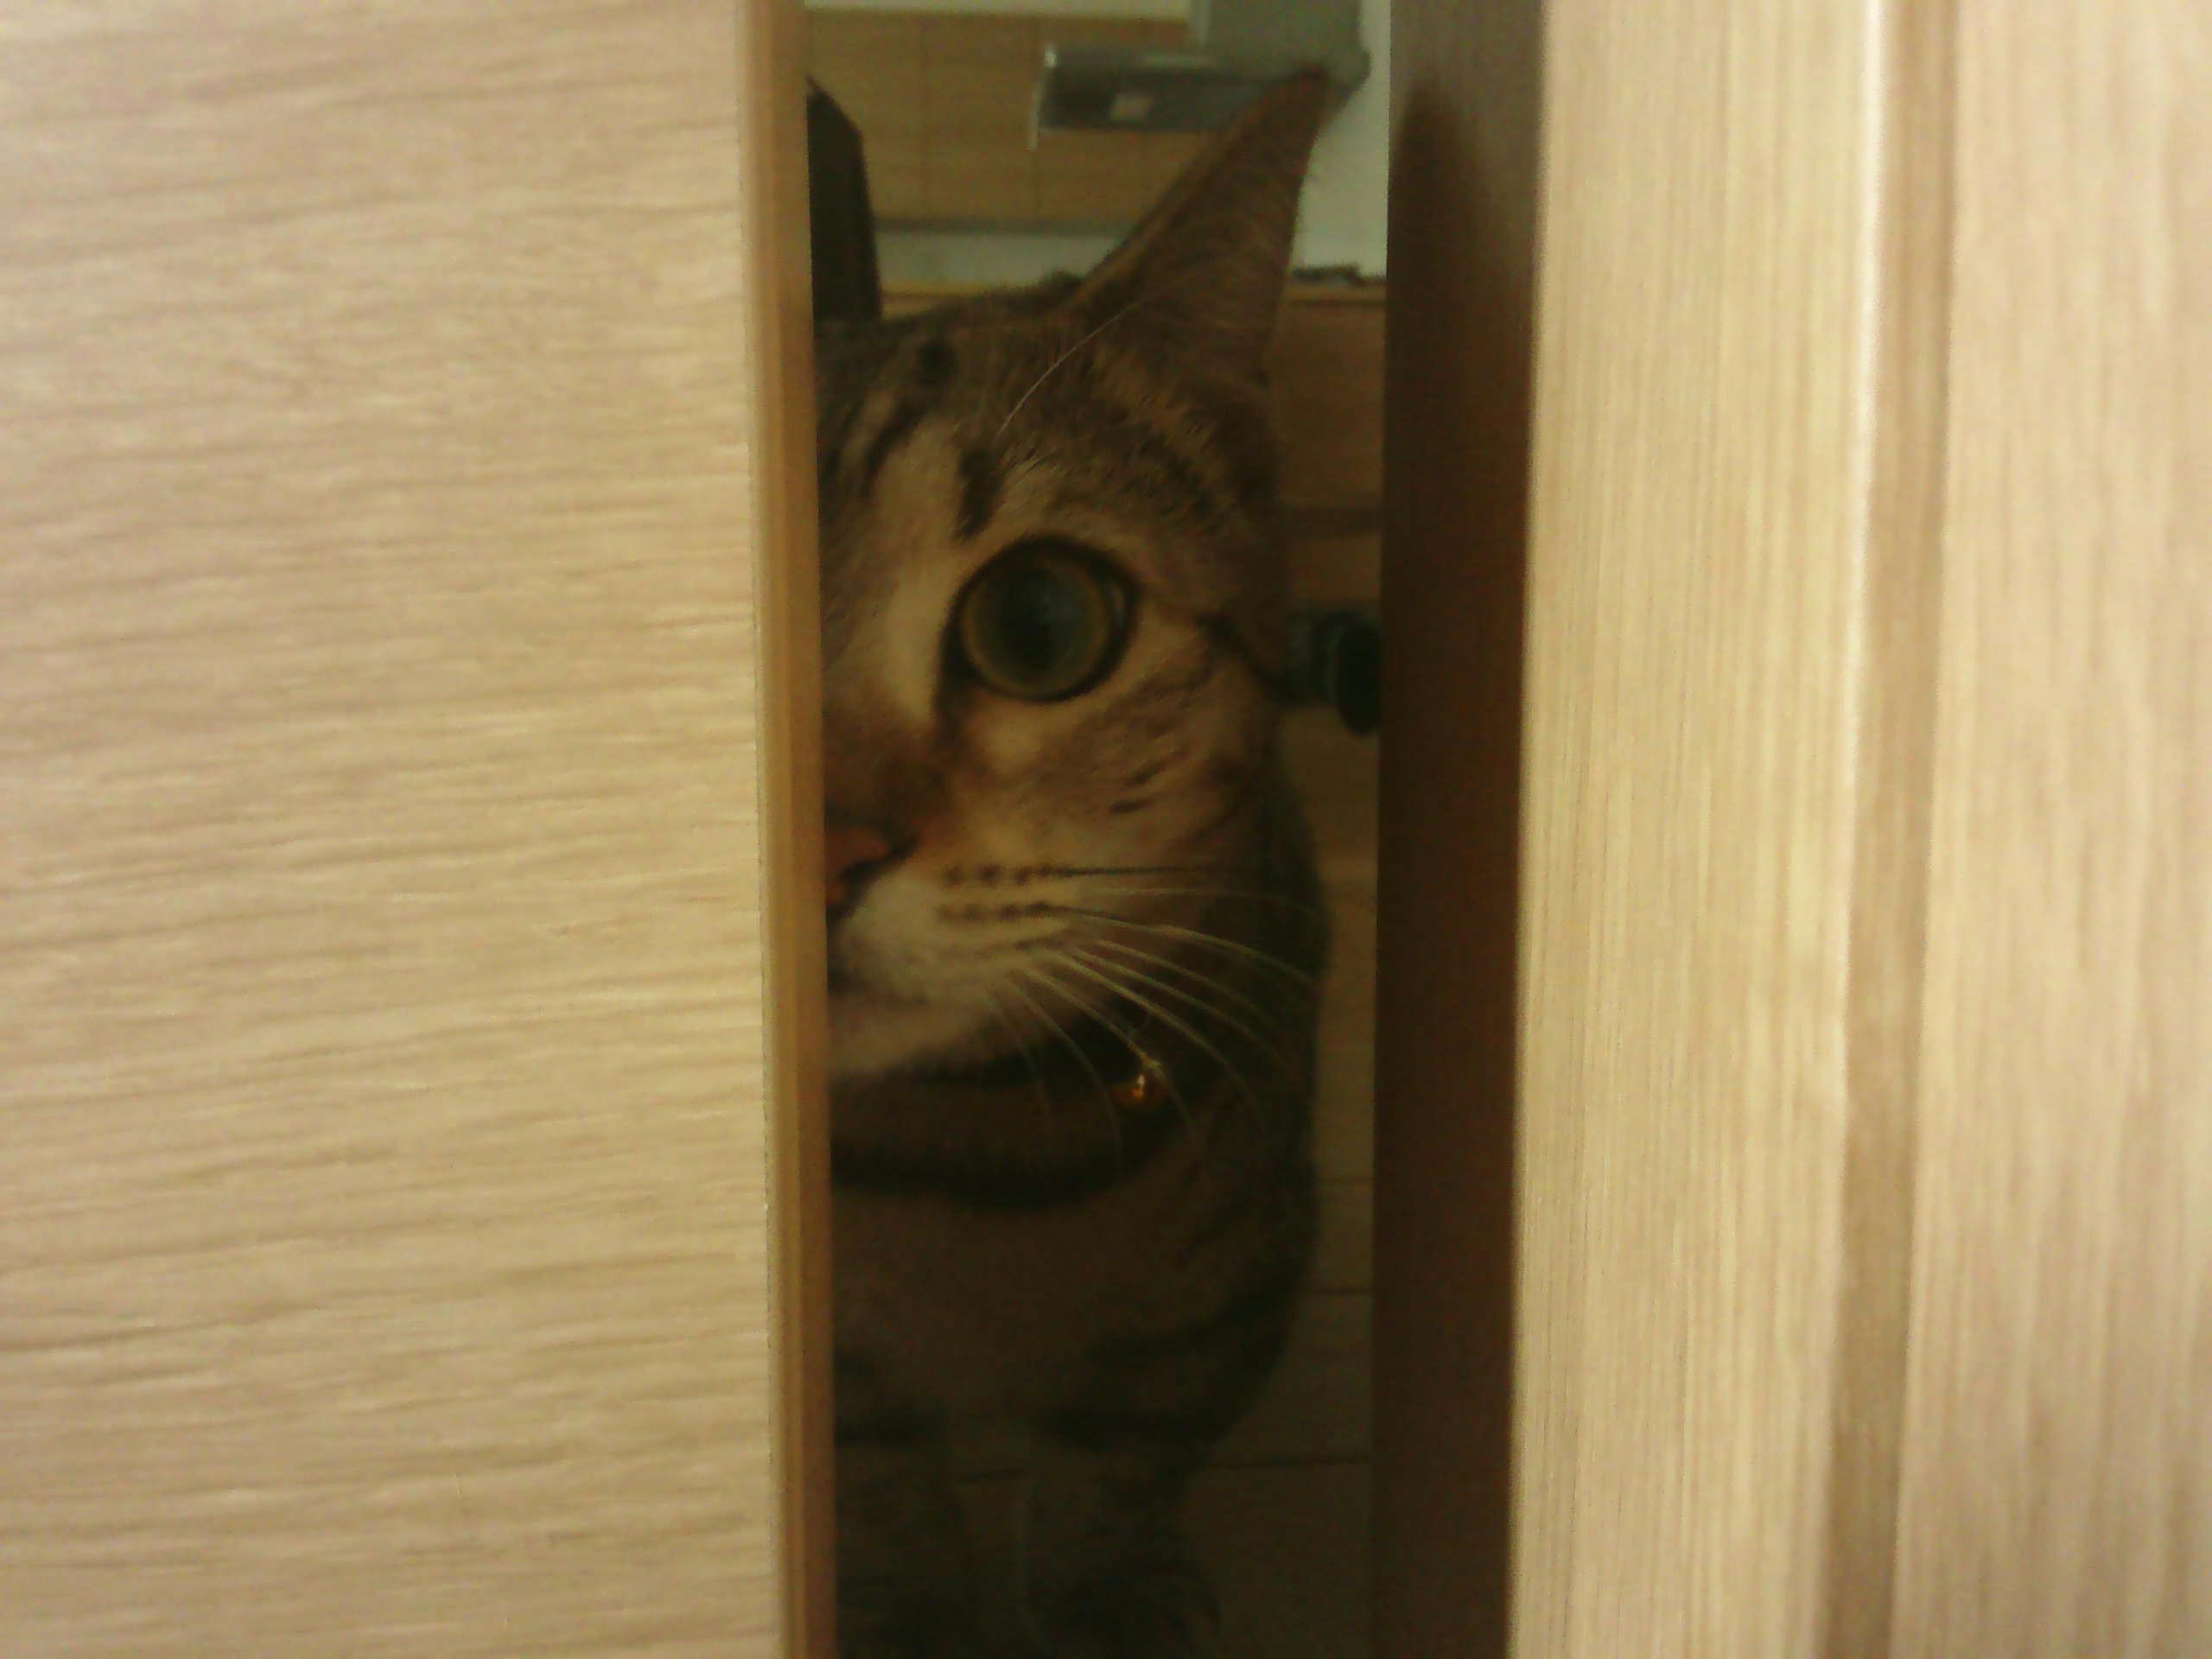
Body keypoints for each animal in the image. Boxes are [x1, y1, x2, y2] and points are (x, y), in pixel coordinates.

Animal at [816, 73, 1330, 1659]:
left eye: (1039, 623)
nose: (827, 850)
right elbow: (885, 1496)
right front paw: (915, 1613)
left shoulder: (1225, 1302)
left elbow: (1118, 1475)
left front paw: (1114, 1601)